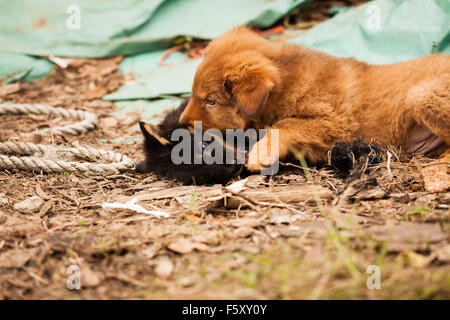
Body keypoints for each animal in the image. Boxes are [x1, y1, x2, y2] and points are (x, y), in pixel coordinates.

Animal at [179, 27, 450, 171]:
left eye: (211, 101)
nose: (183, 123)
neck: (288, 85)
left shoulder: (335, 123)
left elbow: (285, 124)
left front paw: (261, 153)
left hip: (421, 95)